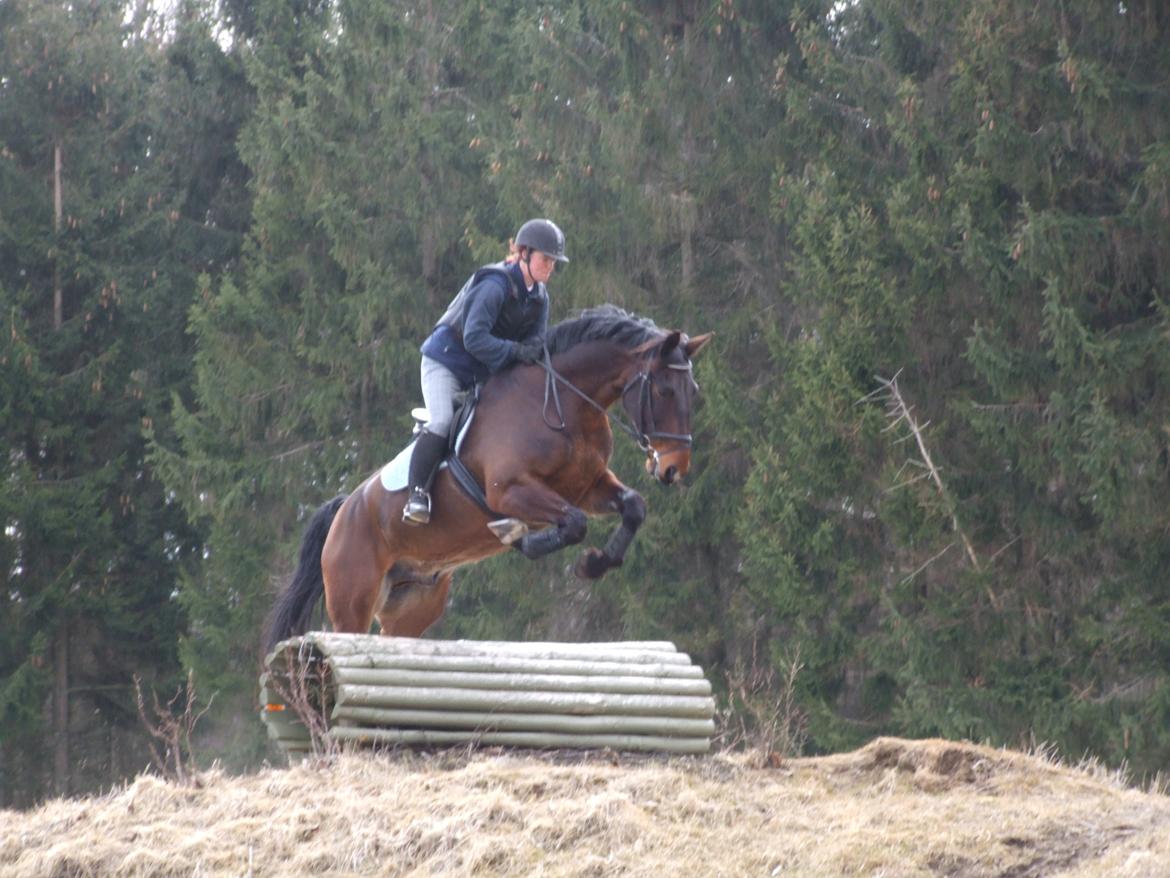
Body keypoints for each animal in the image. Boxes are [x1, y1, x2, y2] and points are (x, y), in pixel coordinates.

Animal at [260, 302, 706, 655]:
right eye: (665, 391)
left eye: (694, 391)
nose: (673, 468)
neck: (565, 403)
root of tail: (343, 509)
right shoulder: (509, 492)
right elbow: (573, 523)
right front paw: (523, 538)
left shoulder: (587, 487)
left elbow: (632, 507)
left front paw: (595, 563)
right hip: (353, 595)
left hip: (415, 603)